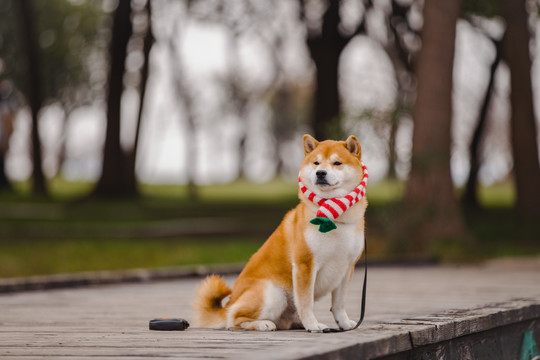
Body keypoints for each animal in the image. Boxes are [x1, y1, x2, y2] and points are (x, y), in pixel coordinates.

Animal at [193, 135, 368, 332]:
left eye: (337, 163)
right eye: (316, 163)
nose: (320, 173)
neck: (337, 219)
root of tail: (229, 303)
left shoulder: (346, 267)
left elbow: (339, 303)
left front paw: (344, 323)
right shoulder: (305, 265)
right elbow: (306, 302)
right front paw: (313, 325)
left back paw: (296, 322)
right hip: (273, 293)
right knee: (234, 319)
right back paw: (262, 324)